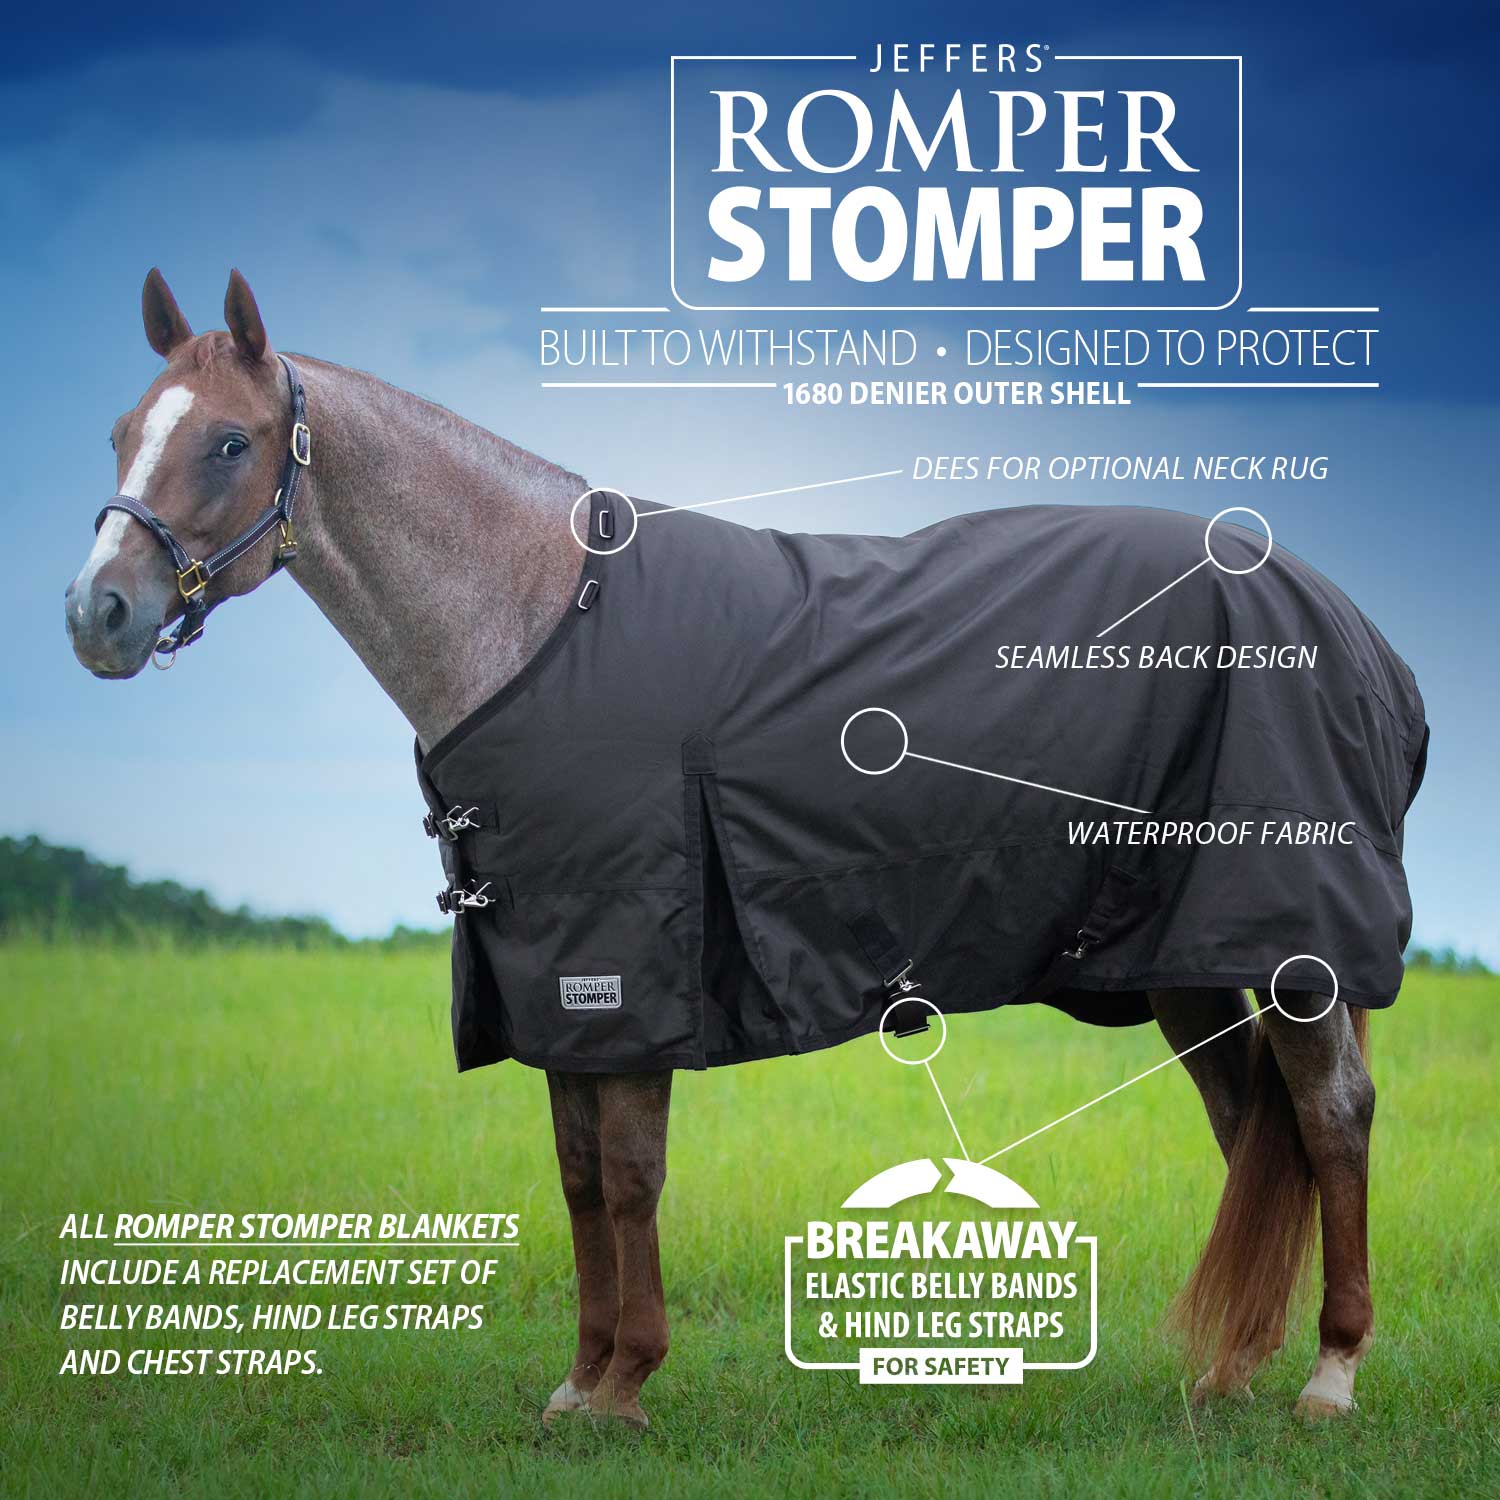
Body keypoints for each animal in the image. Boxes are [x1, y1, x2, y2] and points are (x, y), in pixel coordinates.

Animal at [65, 268, 1395, 1428]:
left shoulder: (624, 970)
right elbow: (579, 1176)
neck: (538, 620)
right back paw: (1232, 1373)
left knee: (1329, 1115)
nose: (97, 615)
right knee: (1252, 1123)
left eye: (229, 442)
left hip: (1294, 949)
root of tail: (1343, 620)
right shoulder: (551, 976)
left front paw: (625, 1383)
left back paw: (1330, 1379)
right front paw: (580, 1383)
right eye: (123, 430)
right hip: (1182, 959)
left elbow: (631, 1173)